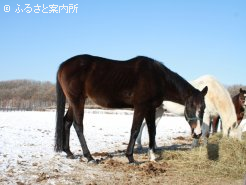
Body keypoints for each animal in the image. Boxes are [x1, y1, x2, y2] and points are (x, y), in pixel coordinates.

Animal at [54, 53, 208, 163]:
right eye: (190, 106)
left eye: (204, 108)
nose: (198, 133)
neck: (156, 77)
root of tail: (63, 65)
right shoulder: (141, 106)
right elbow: (135, 130)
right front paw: (130, 157)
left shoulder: (150, 108)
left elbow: (152, 130)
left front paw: (152, 156)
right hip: (77, 101)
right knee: (78, 125)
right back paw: (90, 157)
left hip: (74, 102)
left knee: (66, 122)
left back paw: (69, 153)